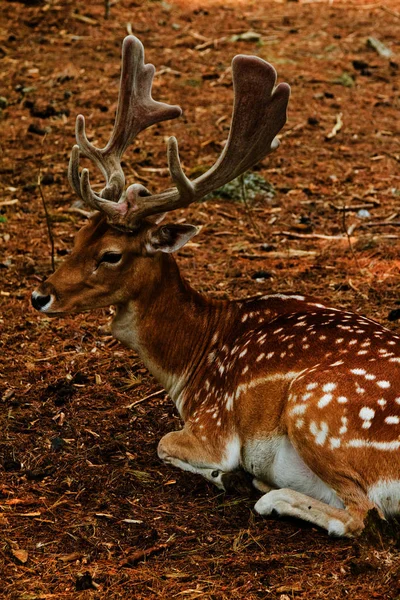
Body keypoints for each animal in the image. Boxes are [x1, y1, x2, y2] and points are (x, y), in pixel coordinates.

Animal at [32, 35, 400, 536]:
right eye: (76, 237)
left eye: (111, 254)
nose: (40, 294)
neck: (191, 361)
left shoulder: (213, 423)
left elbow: (166, 443)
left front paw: (225, 474)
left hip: (315, 408)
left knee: (360, 514)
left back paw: (265, 493)